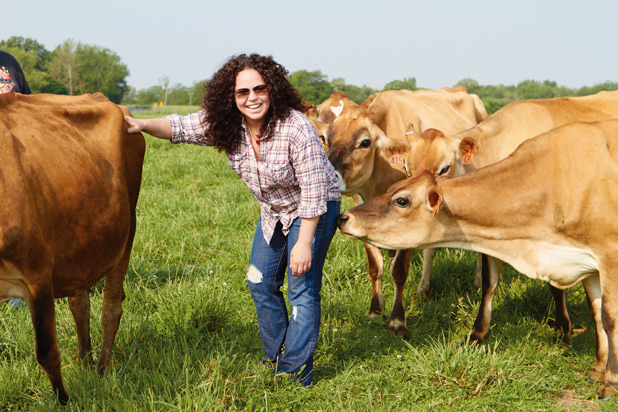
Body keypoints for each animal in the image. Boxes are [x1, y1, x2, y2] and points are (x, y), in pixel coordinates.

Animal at [0, 91, 146, 402]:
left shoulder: (37, 275)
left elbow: (47, 353)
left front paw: (64, 402)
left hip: (128, 228)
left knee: (111, 308)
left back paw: (101, 369)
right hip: (81, 247)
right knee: (80, 303)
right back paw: (84, 362)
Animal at [322, 88, 486, 336]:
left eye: (364, 142)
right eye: (325, 139)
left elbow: (399, 270)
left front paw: (397, 321)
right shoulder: (361, 210)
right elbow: (375, 267)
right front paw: (375, 311)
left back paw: (477, 281)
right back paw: (423, 289)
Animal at [336, 120, 618, 400]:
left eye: (401, 200)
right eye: (395, 184)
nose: (344, 217)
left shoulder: (609, 255)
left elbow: (609, 317)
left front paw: (611, 381)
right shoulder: (586, 262)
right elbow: (596, 313)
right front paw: (597, 368)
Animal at [394, 90, 618, 344]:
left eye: (444, 168)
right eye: (407, 170)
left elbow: (555, 286)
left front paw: (563, 328)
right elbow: (488, 281)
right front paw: (477, 333)